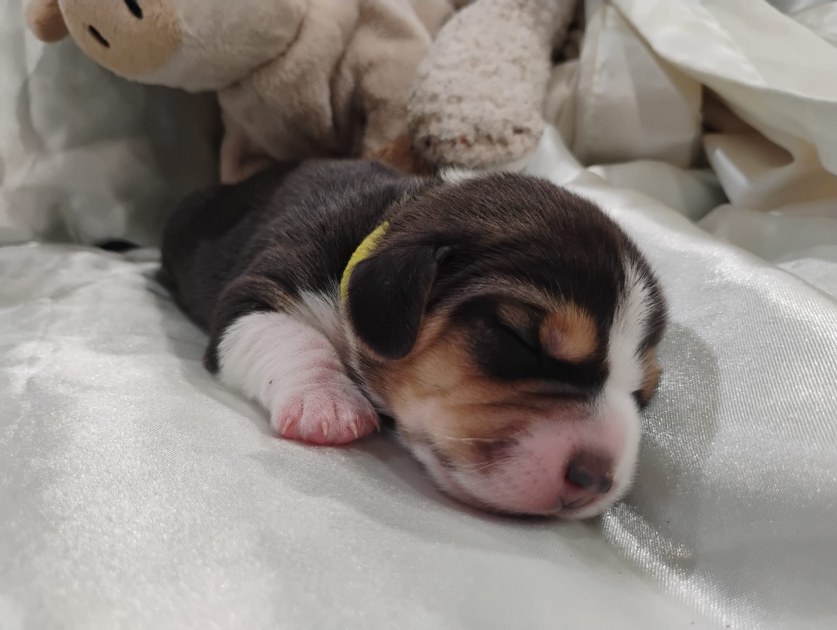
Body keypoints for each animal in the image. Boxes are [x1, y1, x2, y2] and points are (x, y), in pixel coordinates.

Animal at [161, 159, 667, 518]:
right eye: (521, 341)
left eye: (643, 395)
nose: (598, 480)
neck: (387, 222)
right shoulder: (257, 293)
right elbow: (293, 338)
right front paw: (328, 404)